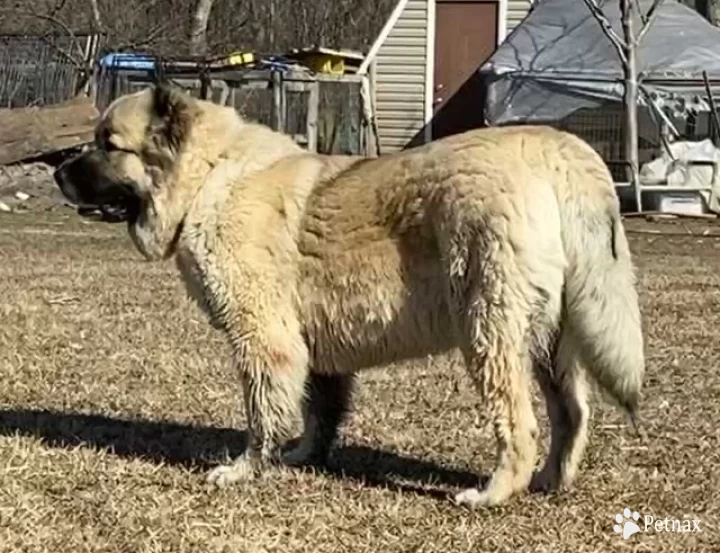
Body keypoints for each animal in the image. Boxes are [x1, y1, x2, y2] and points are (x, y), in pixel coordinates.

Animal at [53, 84, 644, 506]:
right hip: (551, 339)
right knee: (572, 414)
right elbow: (319, 412)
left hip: (489, 330)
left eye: (108, 144)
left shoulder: (263, 339)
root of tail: (550, 148)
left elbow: (263, 415)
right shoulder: (315, 348)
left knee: (519, 425)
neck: (208, 179)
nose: (57, 171)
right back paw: (551, 481)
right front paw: (302, 457)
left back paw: (493, 493)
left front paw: (246, 470)